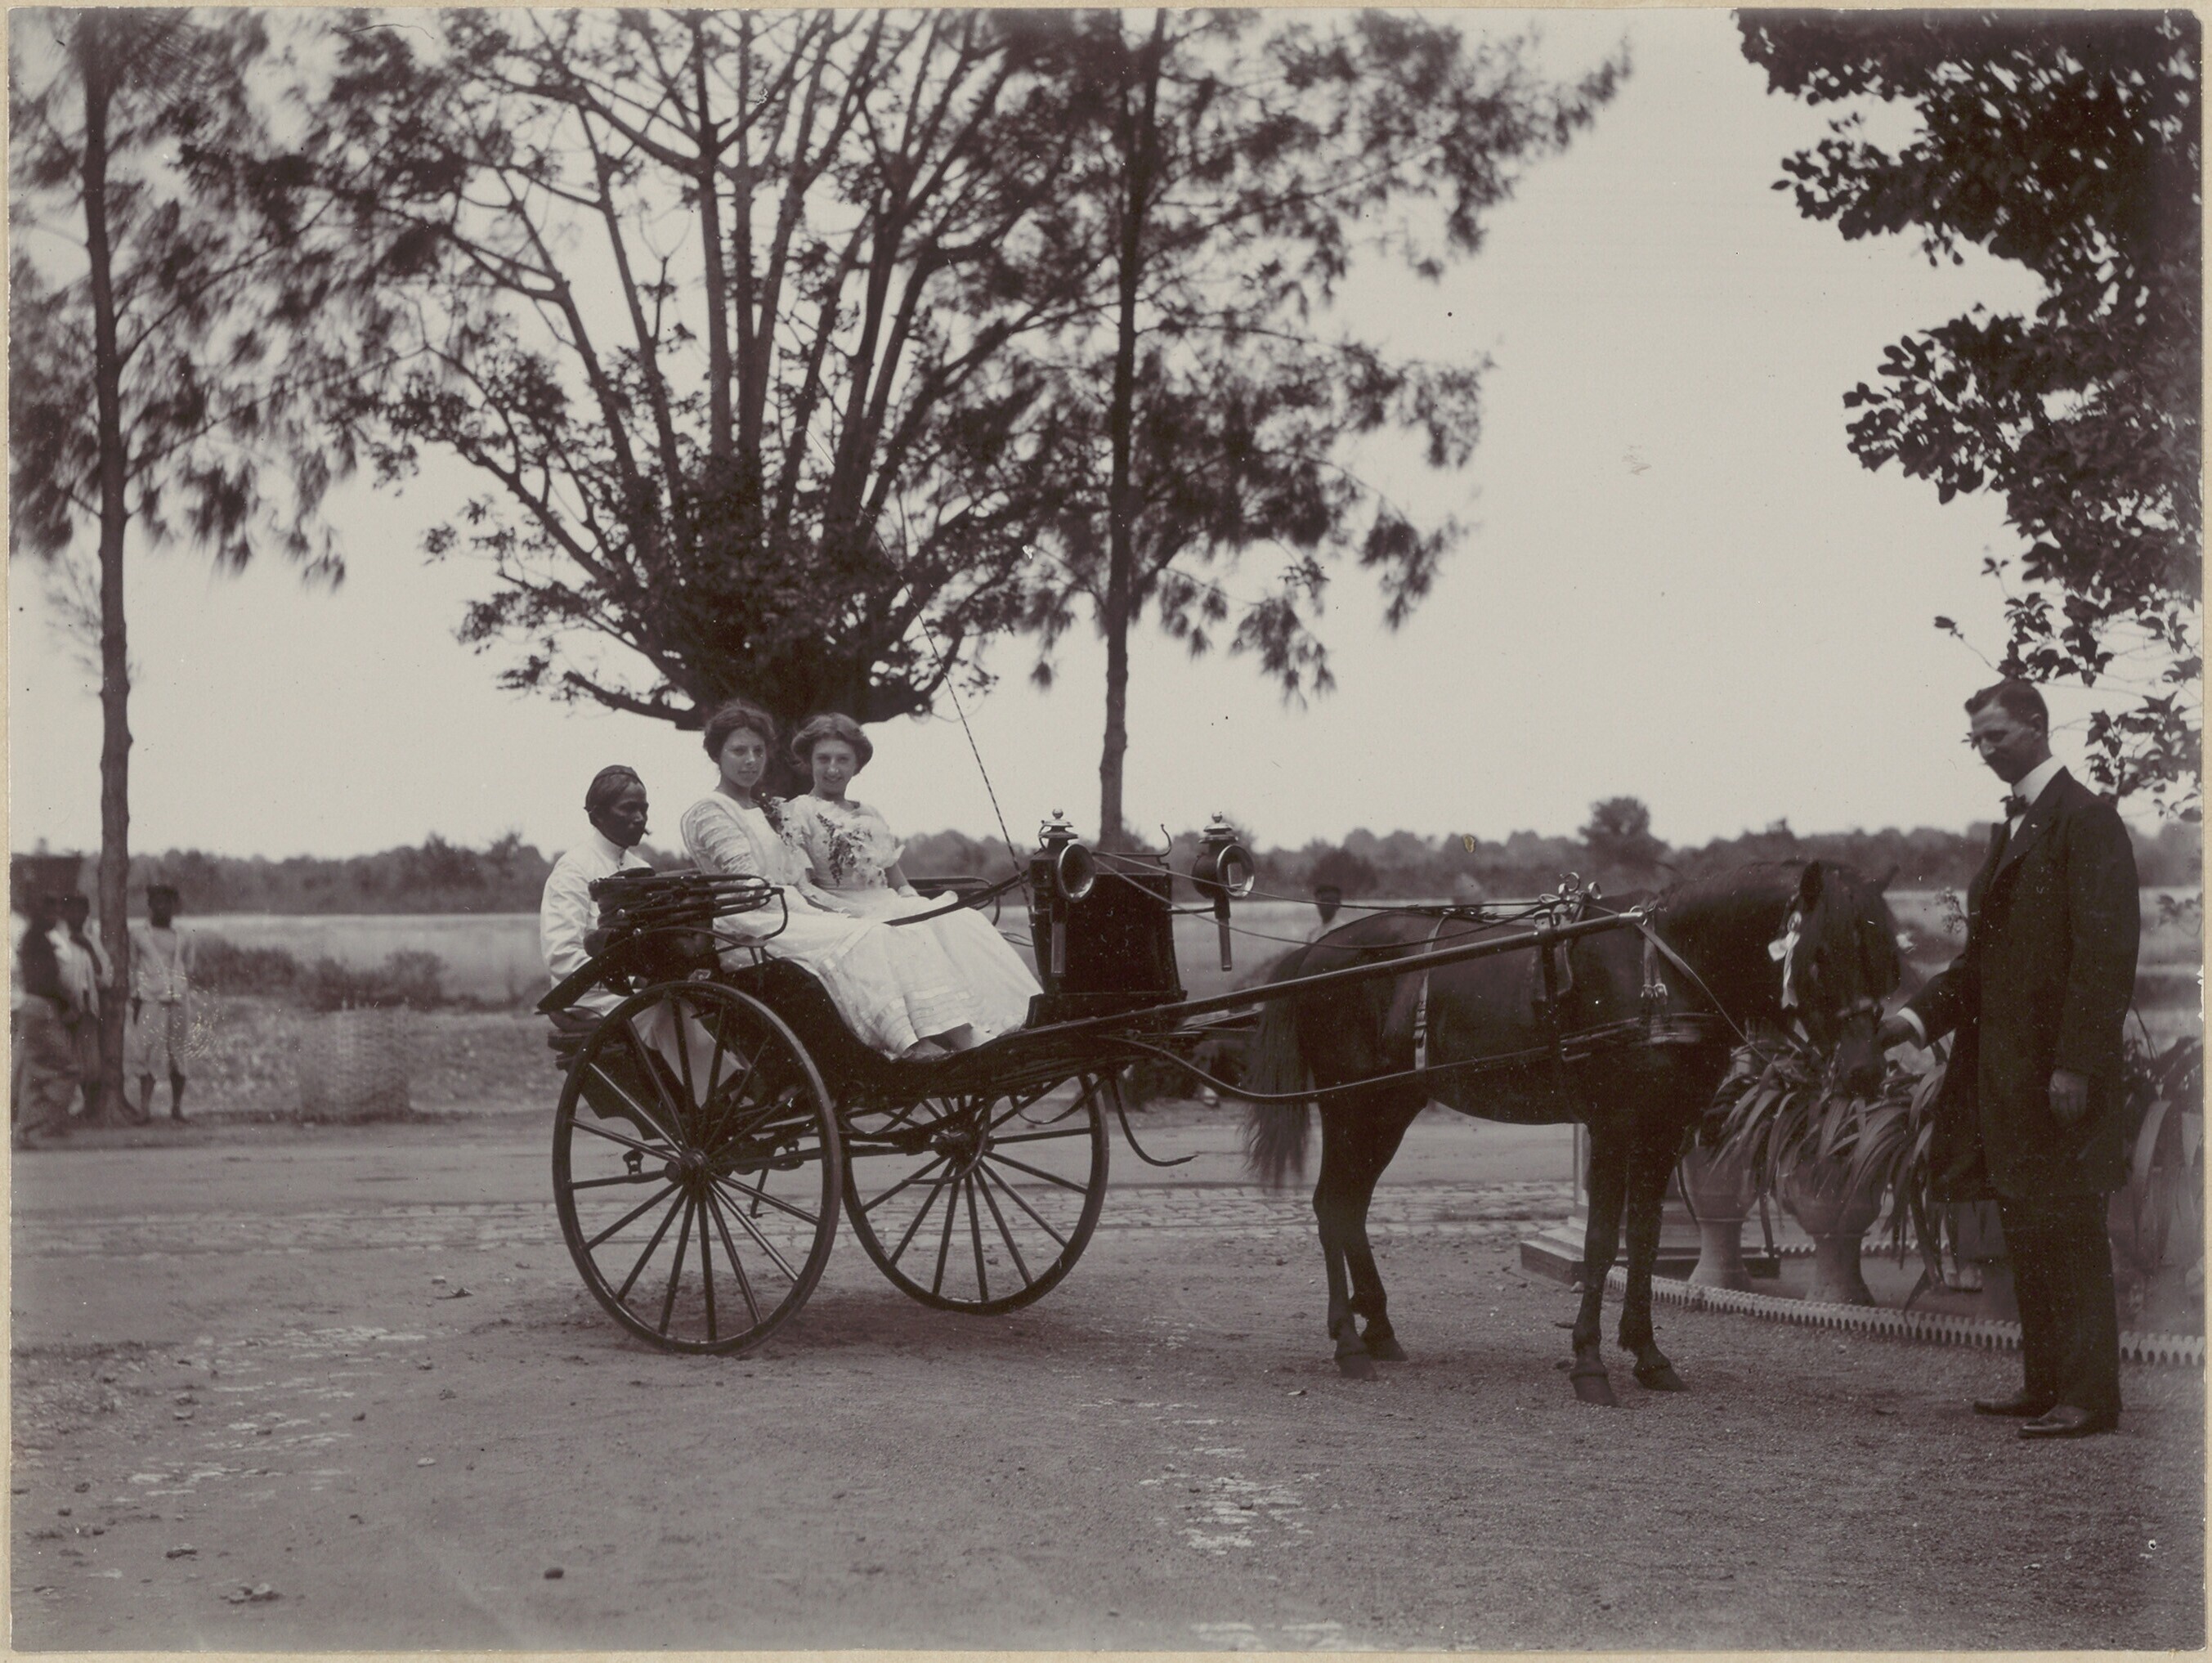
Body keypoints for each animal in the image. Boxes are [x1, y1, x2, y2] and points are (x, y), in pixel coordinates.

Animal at [1241, 860, 1902, 1404]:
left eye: (1882, 954)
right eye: (1821, 954)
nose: (1867, 1070)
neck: (1661, 970)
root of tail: (1314, 955)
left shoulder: (1663, 1131)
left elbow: (1644, 1240)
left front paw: (1648, 1355)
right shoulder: (1613, 1125)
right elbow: (1601, 1243)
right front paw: (1590, 1363)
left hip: (1389, 1108)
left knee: (1351, 1208)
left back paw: (1378, 1330)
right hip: (1349, 1107)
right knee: (1333, 1206)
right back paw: (1349, 1342)